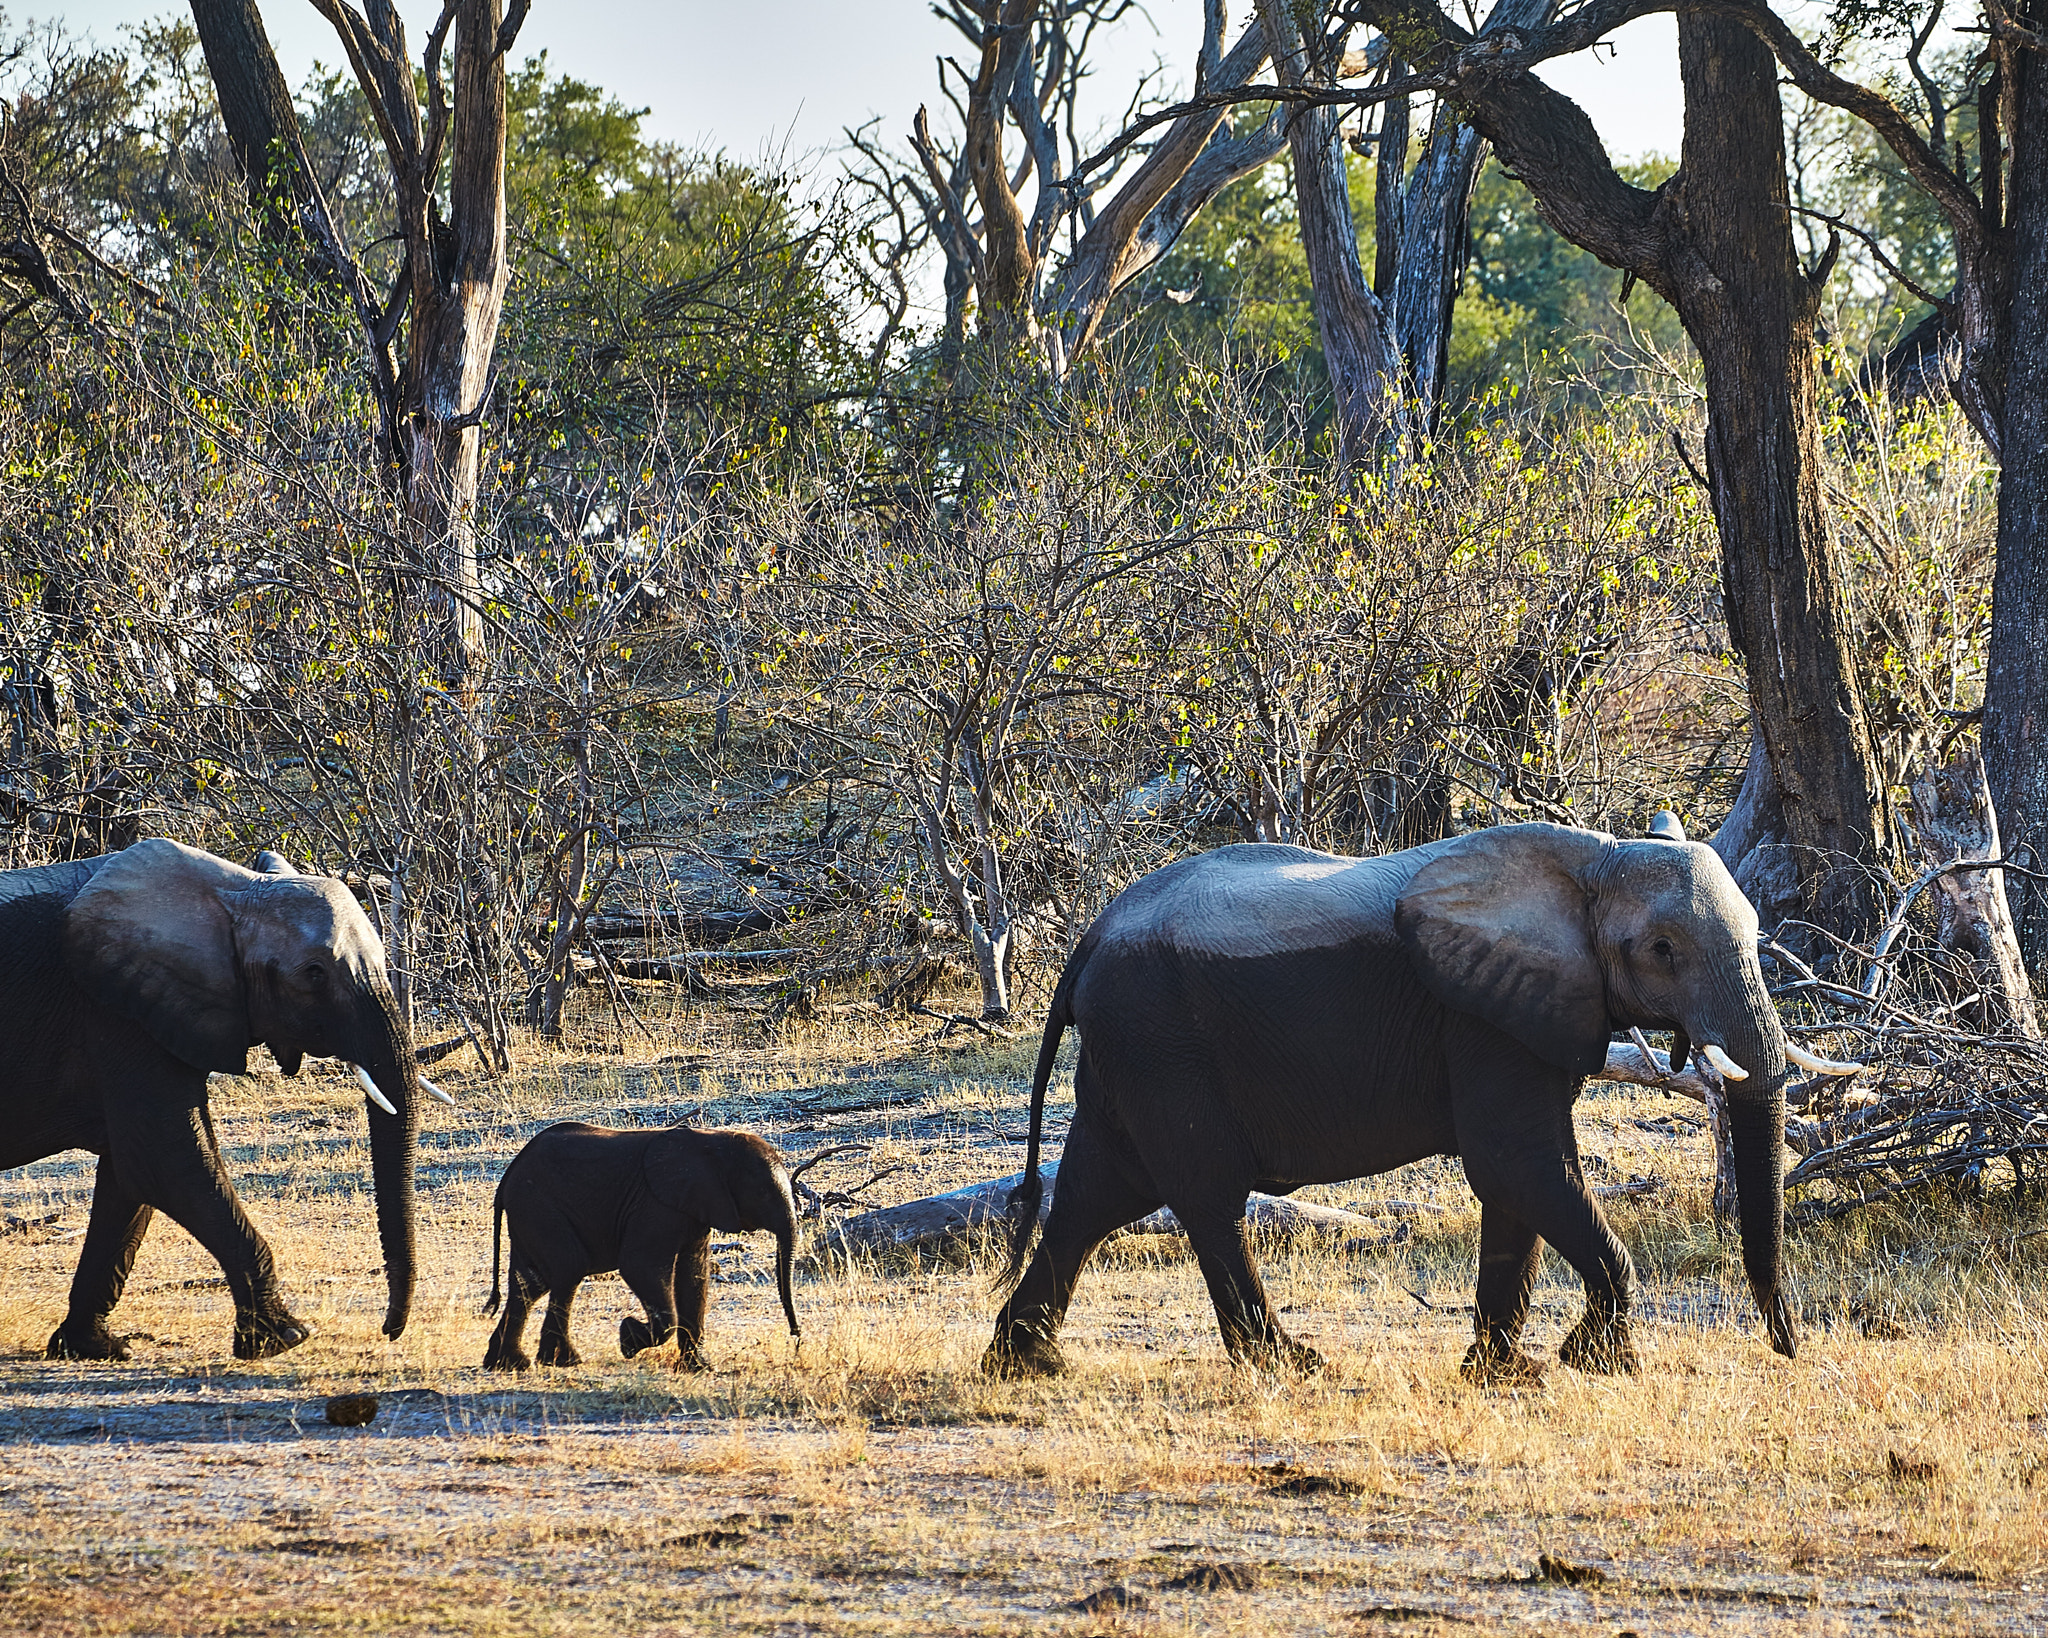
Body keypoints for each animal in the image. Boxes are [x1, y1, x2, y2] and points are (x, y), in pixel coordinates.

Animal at [0, 839, 436, 1361]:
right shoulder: (117, 1013)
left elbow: (130, 1178)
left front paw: (94, 1347)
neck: (233, 893)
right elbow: (169, 1162)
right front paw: (284, 1339)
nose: (389, 1329)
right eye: (313, 975)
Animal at [482, 1122, 801, 1371]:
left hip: (529, 1211)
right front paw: (628, 1339)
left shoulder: (693, 1208)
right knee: (567, 1269)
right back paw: (560, 1362)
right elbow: (639, 1265)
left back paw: (508, 1364)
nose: (796, 1337)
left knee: (530, 1283)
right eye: (762, 1193)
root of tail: (508, 1175)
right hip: (538, 1205)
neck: (713, 1140)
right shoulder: (656, 1205)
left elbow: (694, 1275)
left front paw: (698, 1368)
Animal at [984, 819, 1846, 1383]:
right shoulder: (1481, 1019)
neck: (1593, 858)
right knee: (1203, 1199)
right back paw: (1292, 1367)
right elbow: (1517, 1165)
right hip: (1160, 1041)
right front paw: (1597, 1363)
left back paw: (1026, 1363)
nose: (1788, 1347)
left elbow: (1516, 1186)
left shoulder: (1523, 1008)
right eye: (1663, 950)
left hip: (1130, 1050)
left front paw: (1502, 1373)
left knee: (1096, 1193)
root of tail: (1089, 938)